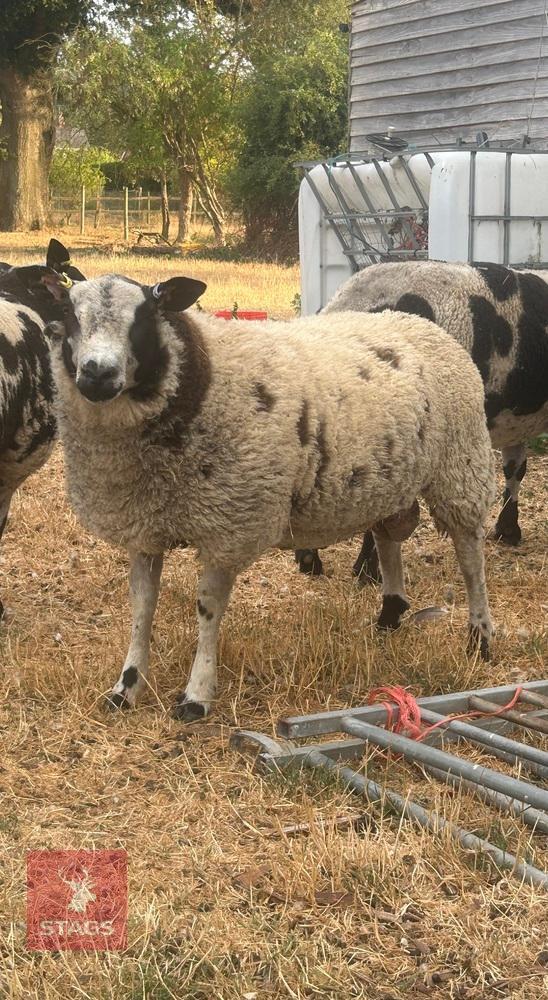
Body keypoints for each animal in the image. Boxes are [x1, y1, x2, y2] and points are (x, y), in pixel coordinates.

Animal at [46, 273, 495, 720]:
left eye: (145, 315)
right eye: (68, 313)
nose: (97, 374)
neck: (203, 377)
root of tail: (417, 322)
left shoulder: (229, 526)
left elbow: (207, 609)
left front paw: (196, 695)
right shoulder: (143, 527)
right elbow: (142, 607)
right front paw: (126, 687)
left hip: (461, 465)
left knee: (470, 559)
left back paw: (480, 637)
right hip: (391, 476)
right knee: (388, 538)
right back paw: (390, 614)